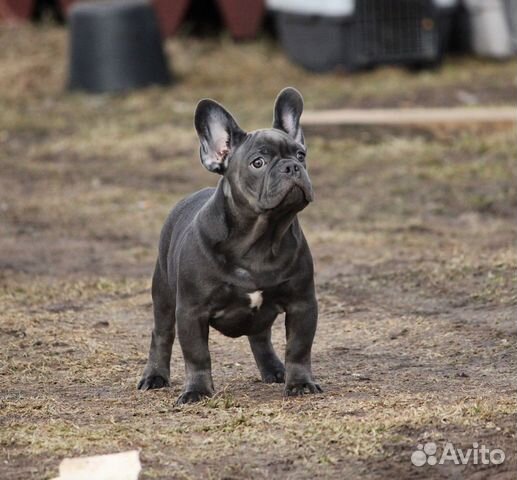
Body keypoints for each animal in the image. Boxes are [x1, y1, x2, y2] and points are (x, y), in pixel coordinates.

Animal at [139, 88, 320, 404]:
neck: (260, 239)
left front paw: (300, 382)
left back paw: (274, 369)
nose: (292, 166)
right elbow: (197, 355)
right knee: (161, 334)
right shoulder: (191, 311)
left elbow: (299, 348)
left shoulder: (302, 303)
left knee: (260, 337)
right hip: (163, 296)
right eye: (258, 163)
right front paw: (197, 390)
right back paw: (154, 376)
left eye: (301, 154)